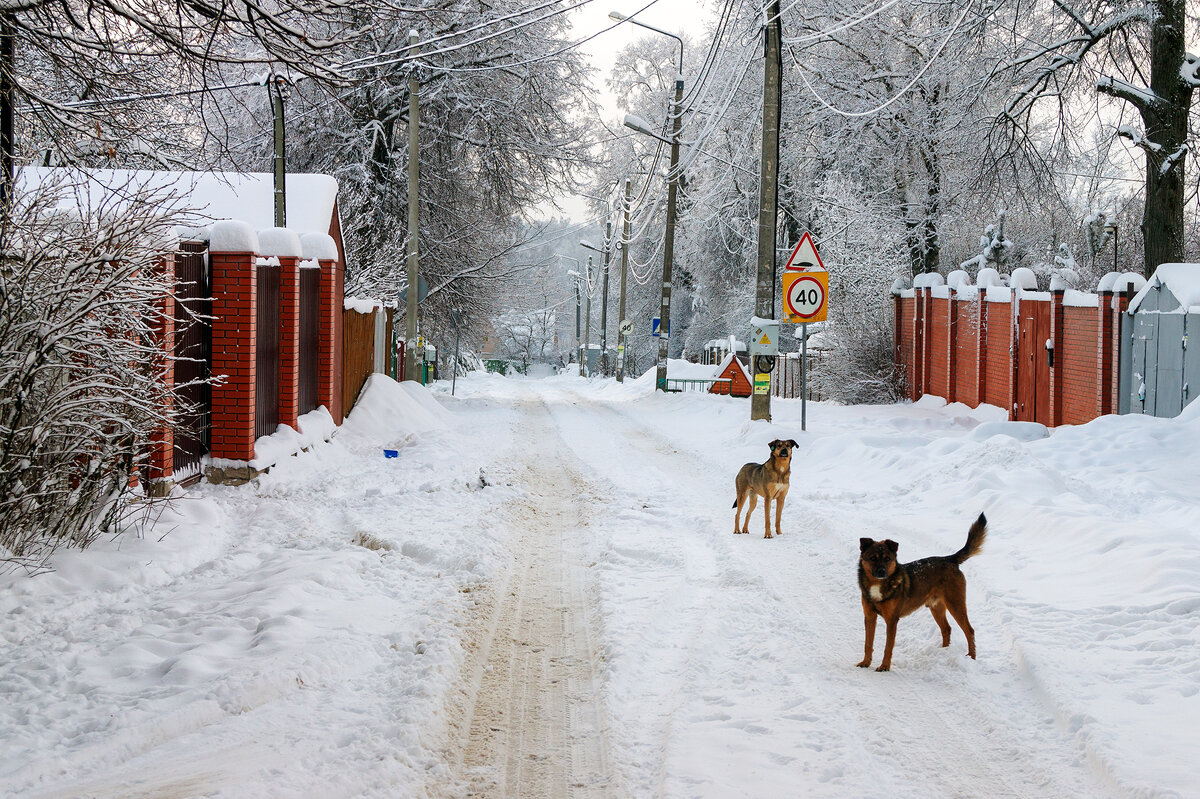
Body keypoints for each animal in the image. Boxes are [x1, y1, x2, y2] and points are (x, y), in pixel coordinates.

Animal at [859, 511, 988, 667]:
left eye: (887, 559)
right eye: (872, 558)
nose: (882, 572)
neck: (878, 584)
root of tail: (950, 559)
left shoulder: (892, 620)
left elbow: (888, 647)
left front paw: (884, 667)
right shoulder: (869, 616)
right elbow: (868, 643)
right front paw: (865, 662)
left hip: (956, 604)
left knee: (969, 631)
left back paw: (971, 657)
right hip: (936, 607)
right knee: (946, 629)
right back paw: (944, 652)